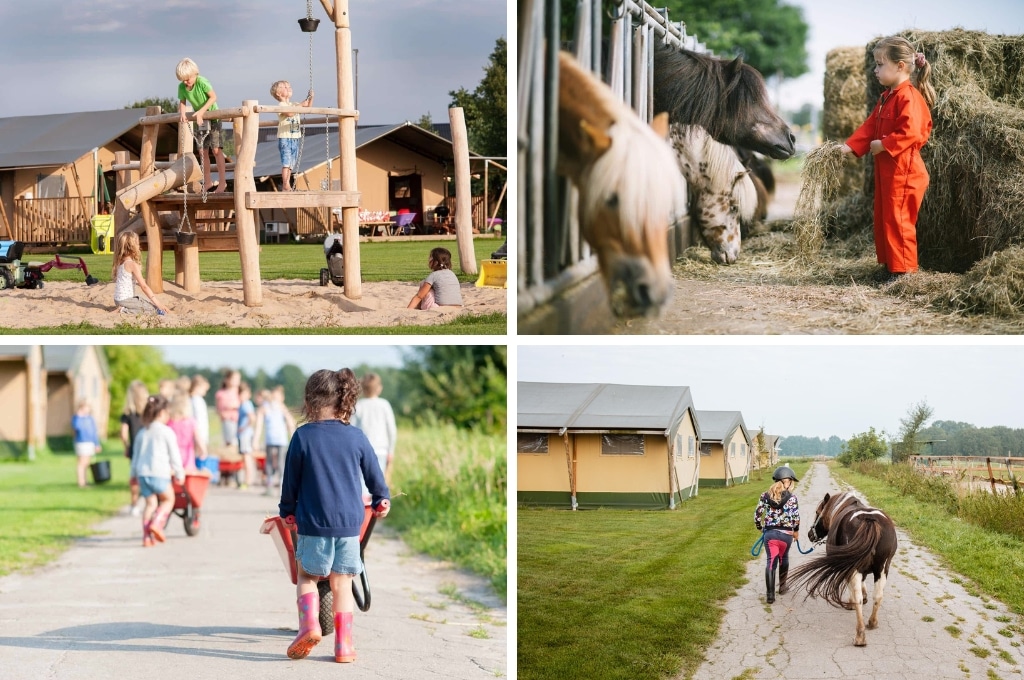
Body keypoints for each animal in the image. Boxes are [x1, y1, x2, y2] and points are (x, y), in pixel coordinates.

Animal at [786, 491, 901, 647]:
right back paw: (872, 623)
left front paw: (851, 602)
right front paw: (865, 596)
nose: (810, 534)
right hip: (882, 569)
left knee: (859, 598)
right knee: (878, 596)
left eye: (817, 512)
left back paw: (860, 636)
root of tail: (869, 520)